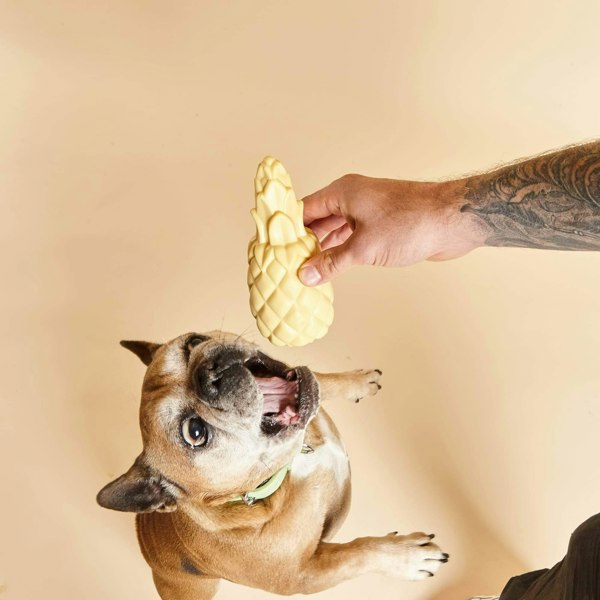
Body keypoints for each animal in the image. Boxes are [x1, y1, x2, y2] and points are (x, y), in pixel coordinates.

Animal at [96, 330, 448, 596]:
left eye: (193, 343)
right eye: (195, 432)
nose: (207, 372)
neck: (293, 462)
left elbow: (319, 379)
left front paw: (355, 381)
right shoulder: (304, 575)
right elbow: (354, 556)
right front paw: (406, 557)